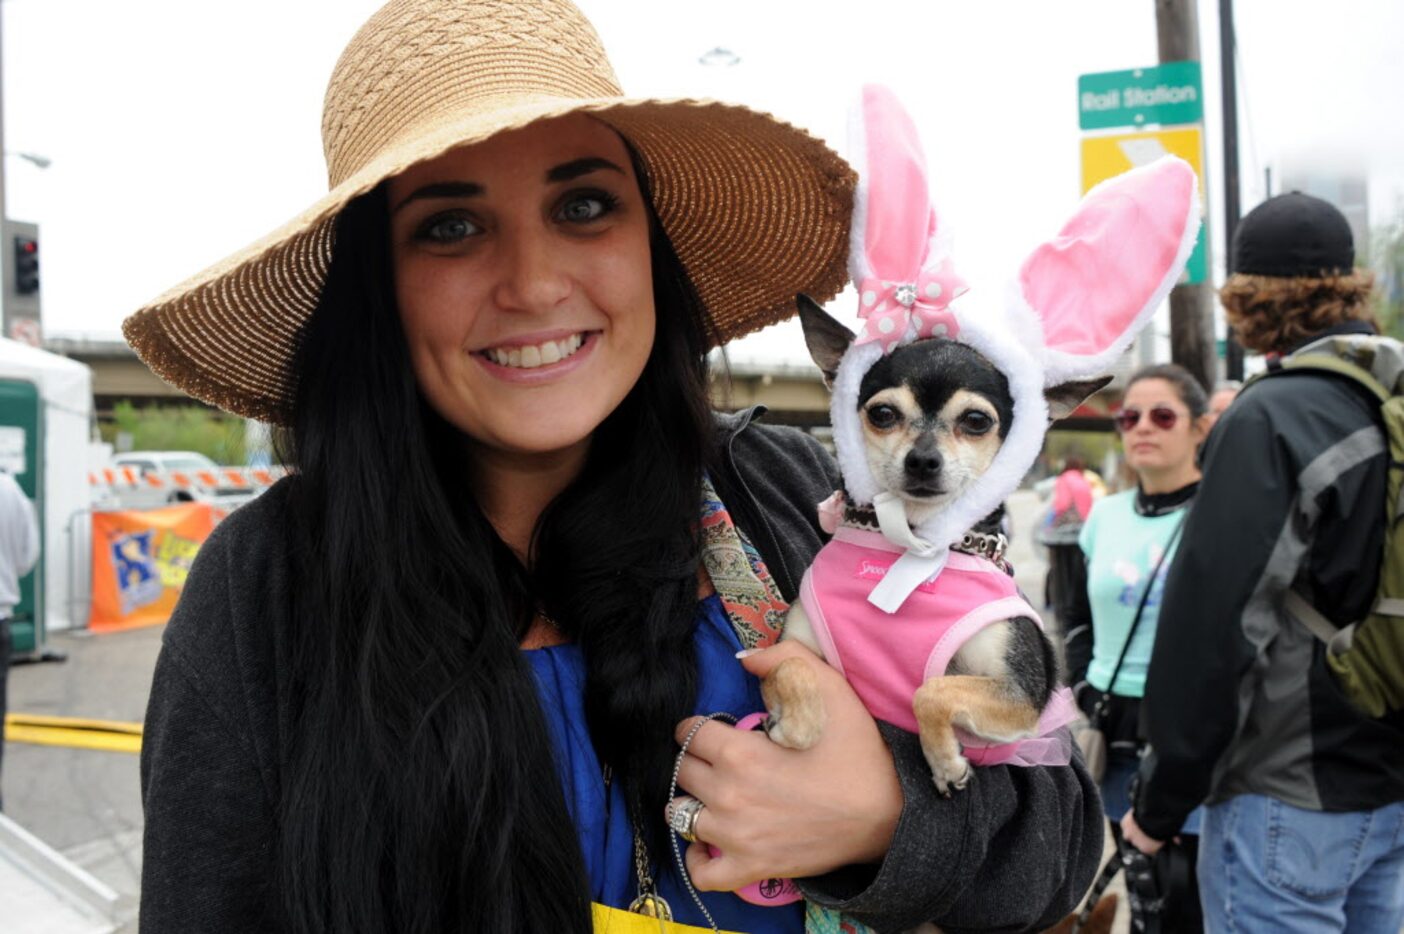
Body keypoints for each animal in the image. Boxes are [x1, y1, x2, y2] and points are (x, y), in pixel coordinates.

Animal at [758, 294, 1106, 792]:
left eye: (976, 421)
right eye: (883, 414)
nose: (923, 459)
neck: (914, 541)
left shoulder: (1022, 695)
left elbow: (931, 691)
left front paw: (944, 762)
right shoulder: (791, 648)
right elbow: (792, 669)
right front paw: (786, 727)